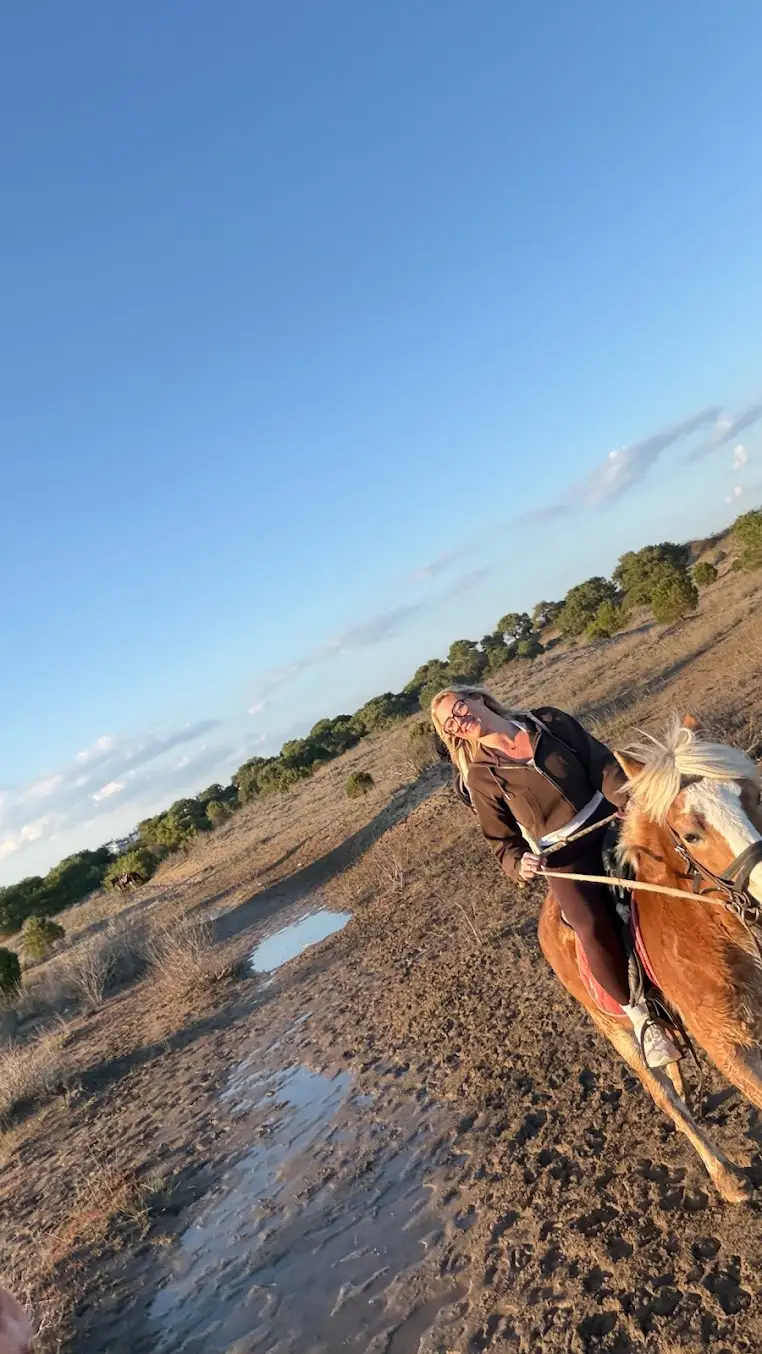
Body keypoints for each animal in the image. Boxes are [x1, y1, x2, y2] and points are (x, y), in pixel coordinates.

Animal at [538, 714, 762, 1203]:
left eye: (751, 794)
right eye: (692, 833)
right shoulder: (729, 1045)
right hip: (618, 1031)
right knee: (666, 1099)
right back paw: (727, 1177)